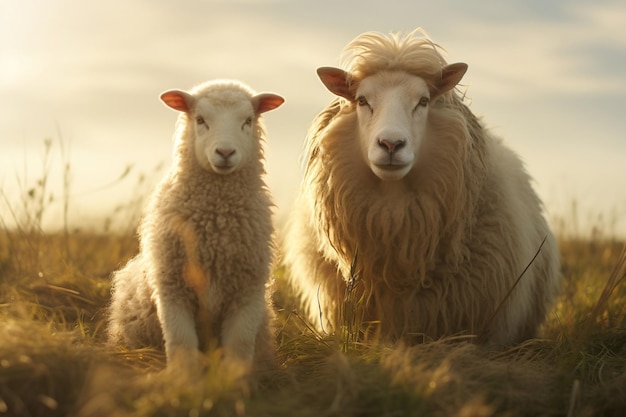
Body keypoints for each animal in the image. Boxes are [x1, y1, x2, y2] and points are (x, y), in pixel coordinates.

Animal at [107, 77, 282, 368]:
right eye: (200, 119)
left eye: (247, 120)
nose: (225, 151)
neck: (216, 218)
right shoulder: (172, 287)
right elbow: (181, 343)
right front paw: (183, 377)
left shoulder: (248, 291)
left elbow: (239, 345)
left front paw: (234, 379)